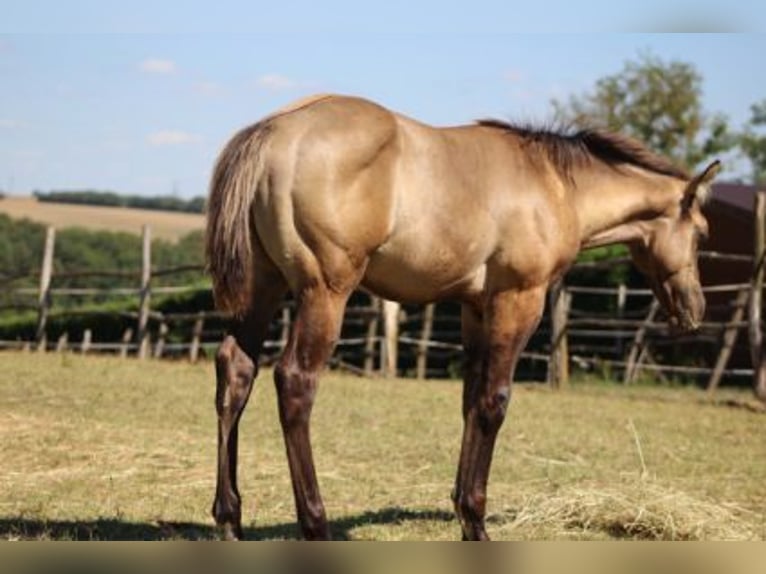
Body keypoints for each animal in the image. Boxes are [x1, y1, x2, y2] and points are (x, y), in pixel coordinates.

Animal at [204, 94, 720, 544]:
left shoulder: (475, 307)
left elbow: (471, 401)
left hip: (264, 289)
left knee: (237, 372)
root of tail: (273, 132)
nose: (694, 310)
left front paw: (463, 513)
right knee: (295, 382)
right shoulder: (519, 300)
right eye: (701, 232)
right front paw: (477, 521)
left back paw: (230, 519)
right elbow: (495, 402)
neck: (555, 183)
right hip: (324, 293)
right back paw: (315, 524)